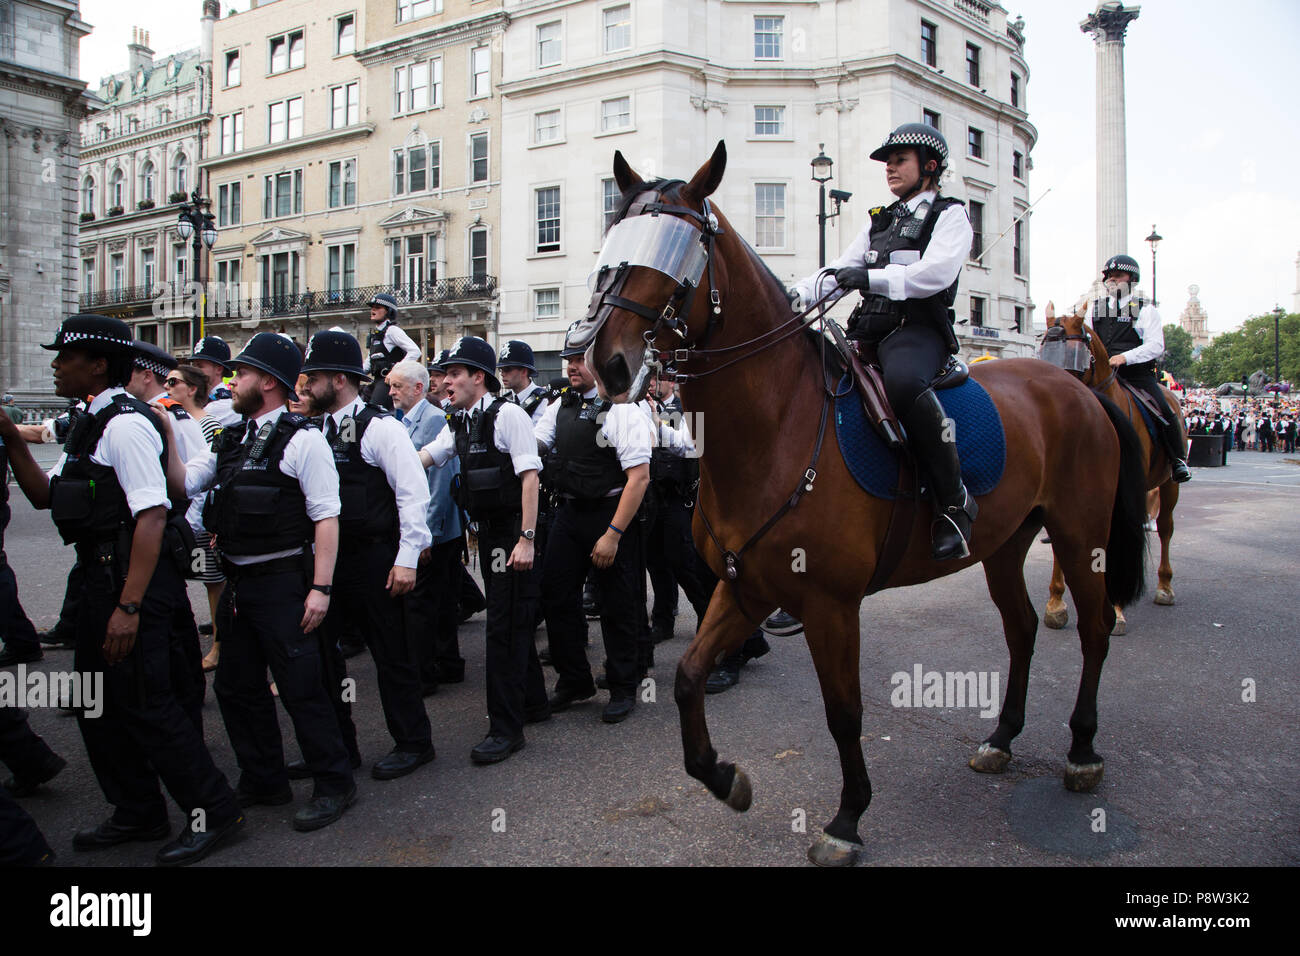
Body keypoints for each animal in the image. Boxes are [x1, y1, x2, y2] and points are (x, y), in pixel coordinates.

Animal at [574, 143, 1144, 868]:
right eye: (616, 237)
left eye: (679, 248)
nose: (606, 362)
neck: (779, 426)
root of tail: (1081, 389)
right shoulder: (747, 586)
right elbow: (689, 676)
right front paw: (725, 778)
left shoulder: (830, 604)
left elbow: (844, 713)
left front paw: (847, 819)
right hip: (1005, 543)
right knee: (1020, 629)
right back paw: (1001, 738)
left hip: (1079, 534)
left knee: (1095, 629)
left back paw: (1082, 748)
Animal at [1040, 304, 1185, 634]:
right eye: (1043, 351)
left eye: (1075, 355)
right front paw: (1056, 604)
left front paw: (1116, 610)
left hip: (1170, 483)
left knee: (1166, 527)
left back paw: (1165, 587)